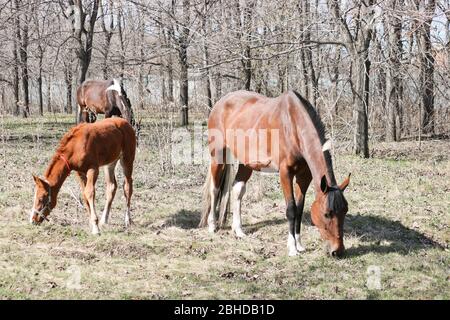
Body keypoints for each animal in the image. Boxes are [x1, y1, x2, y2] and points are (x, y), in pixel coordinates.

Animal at [200, 89, 352, 258]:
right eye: (326, 214)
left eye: (345, 211)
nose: (337, 251)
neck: (293, 126)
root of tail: (219, 103)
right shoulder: (285, 173)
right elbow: (291, 209)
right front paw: (292, 248)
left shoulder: (304, 176)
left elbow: (299, 209)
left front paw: (299, 245)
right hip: (218, 156)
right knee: (214, 189)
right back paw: (212, 226)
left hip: (246, 163)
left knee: (237, 189)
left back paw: (238, 230)